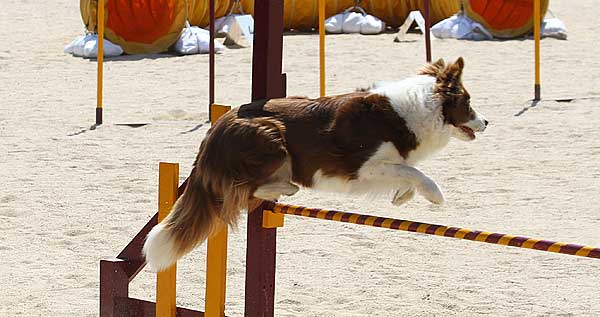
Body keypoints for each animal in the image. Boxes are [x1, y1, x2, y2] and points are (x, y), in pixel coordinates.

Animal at [144, 56, 488, 270]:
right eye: (468, 103)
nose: (487, 121)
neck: (420, 108)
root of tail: (216, 129)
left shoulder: (377, 168)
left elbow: (405, 173)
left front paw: (402, 197)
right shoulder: (363, 165)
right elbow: (414, 170)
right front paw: (434, 194)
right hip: (272, 139)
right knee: (245, 189)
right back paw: (286, 187)